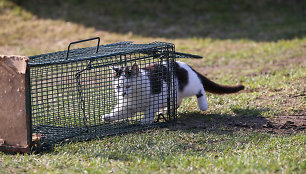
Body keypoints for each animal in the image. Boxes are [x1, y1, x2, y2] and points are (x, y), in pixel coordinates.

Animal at [104, 60, 245, 123]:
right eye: (118, 87)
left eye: (128, 86)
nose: (122, 94)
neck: (134, 96)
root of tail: (182, 64)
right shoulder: (128, 106)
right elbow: (120, 112)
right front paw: (109, 117)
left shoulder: (156, 96)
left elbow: (150, 109)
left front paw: (146, 119)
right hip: (175, 93)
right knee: (177, 101)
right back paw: (167, 109)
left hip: (189, 85)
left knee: (200, 87)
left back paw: (203, 105)